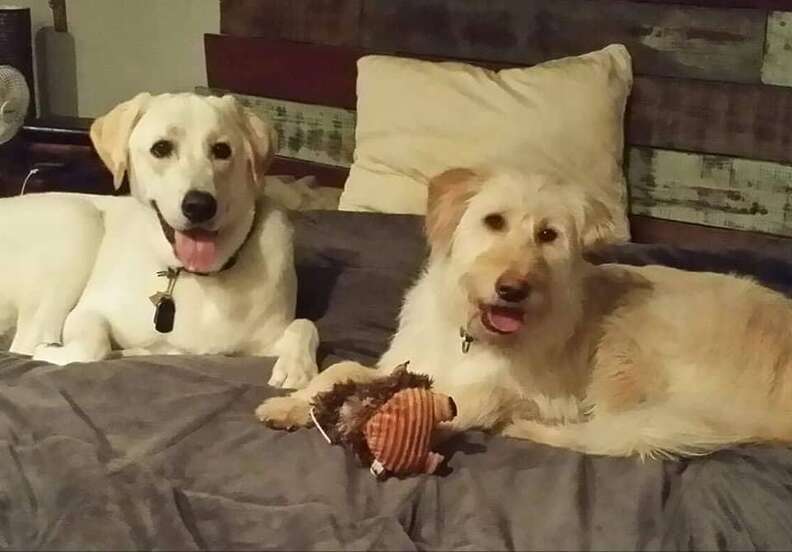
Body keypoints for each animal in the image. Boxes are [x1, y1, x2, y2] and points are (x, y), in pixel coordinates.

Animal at [3, 91, 320, 388]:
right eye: (161, 148)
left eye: (222, 150)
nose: (199, 206)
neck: (197, 277)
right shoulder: (87, 311)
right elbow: (91, 346)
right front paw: (53, 351)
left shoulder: (267, 339)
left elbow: (305, 326)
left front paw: (297, 368)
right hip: (78, 222)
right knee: (26, 342)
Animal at [255, 167, 792, 458]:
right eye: (493, 221)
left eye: (549, 235)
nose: (513, 289)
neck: (472, 334)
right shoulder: (402, 363)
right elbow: (343, 369)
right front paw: (297, 403)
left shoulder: (543, 395)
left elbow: (469, 398)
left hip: (633, 341)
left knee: (612, 434)